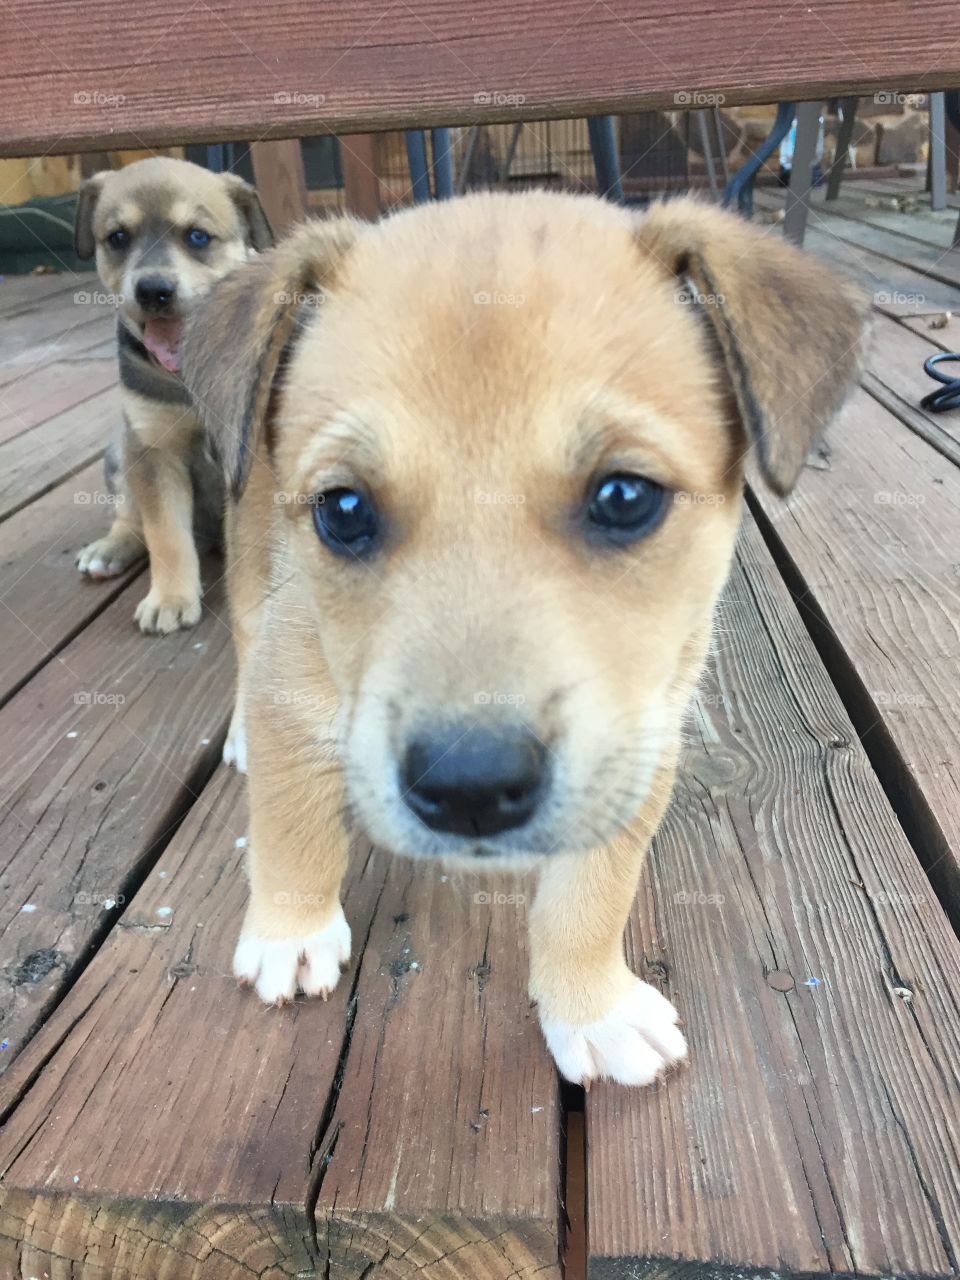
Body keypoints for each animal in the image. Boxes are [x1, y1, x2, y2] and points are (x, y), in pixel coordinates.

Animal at [71, 156, 272, 634]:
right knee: (132, 517)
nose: (154, 291)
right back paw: (110, 548)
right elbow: (165, 534)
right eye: (118, 238)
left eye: (197, 236)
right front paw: (169, 599)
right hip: (119, 451)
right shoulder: (152, 449)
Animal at [184, 194, 870, 1085]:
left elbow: (594, 894)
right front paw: (289, 933)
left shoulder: (641, 735)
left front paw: (592, 1005)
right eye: (343, 509)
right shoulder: (293, 684)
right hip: (249, 565)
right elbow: (289, 824)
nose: (468, 788)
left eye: (625, 496)